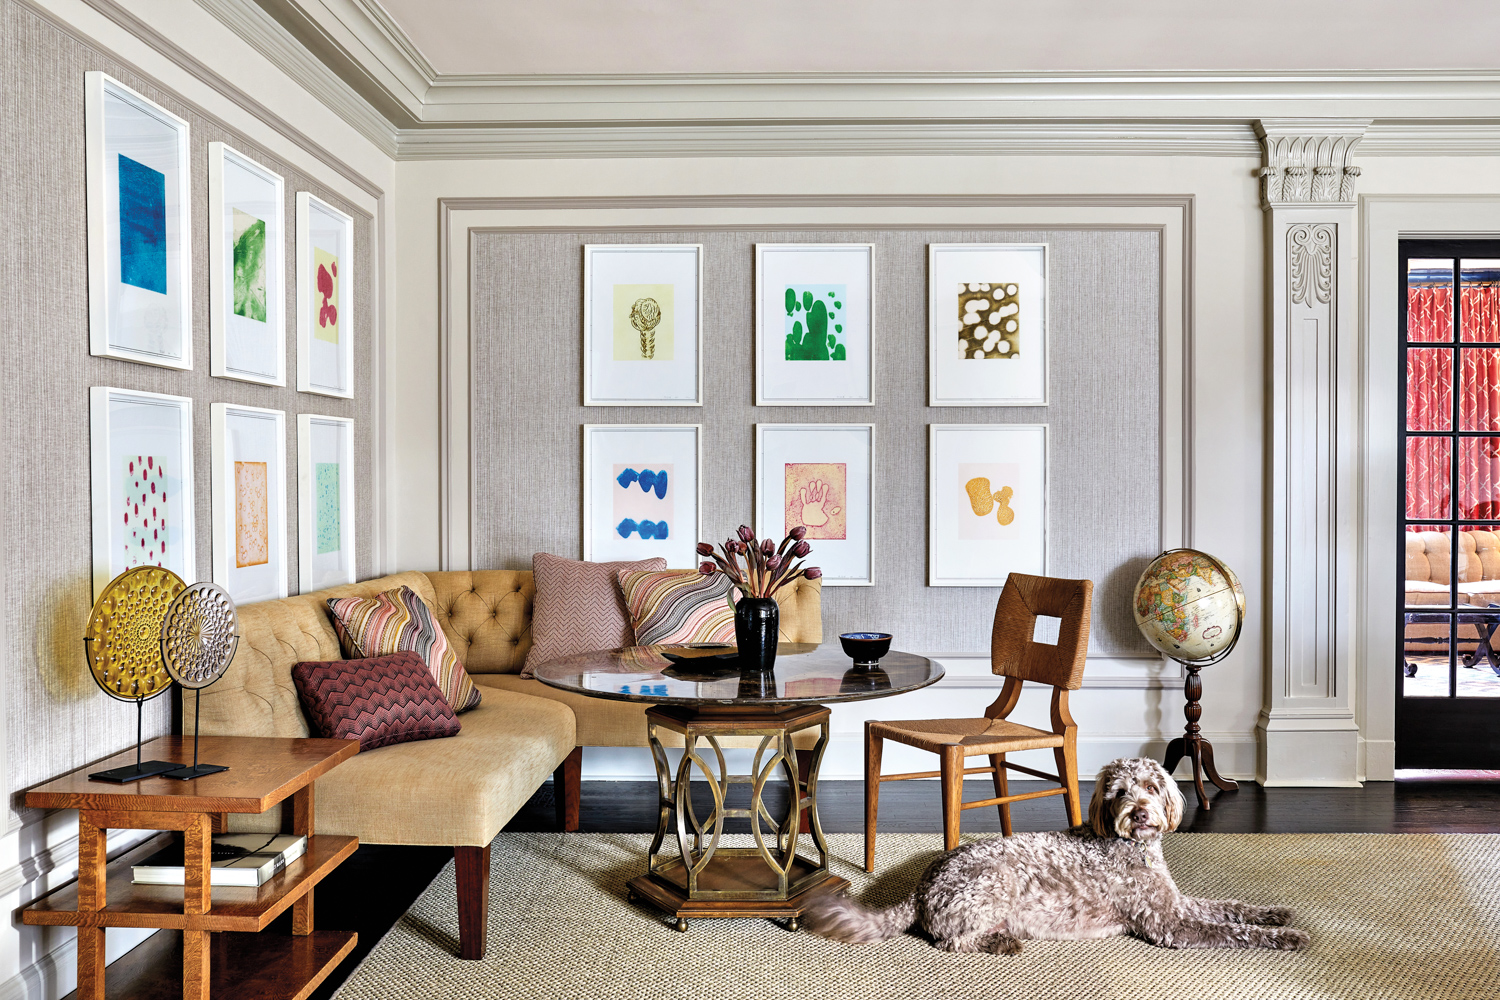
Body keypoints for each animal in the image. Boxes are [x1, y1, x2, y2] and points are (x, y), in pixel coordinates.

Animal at [804, 758, 1308, 953]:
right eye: (1119, 793)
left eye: (1151, 786)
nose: (1140, 813)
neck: (1132, 847)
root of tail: (922, 884)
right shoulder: (1170, 924)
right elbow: (1230, 931)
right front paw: (1287, 938)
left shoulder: (1175, 903)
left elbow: (1231, 907)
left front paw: (1277, 915)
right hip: (996, 881)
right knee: (952, 940)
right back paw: (1001, 942)